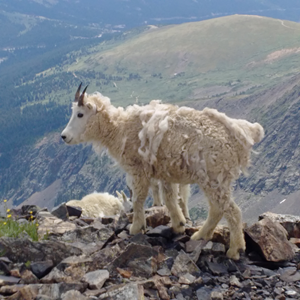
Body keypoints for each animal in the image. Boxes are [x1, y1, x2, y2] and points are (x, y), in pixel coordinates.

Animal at [61, 84, 264, 260]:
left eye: (80, 114)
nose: (64, 136)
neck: (120, 129)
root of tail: (241, 135)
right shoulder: (167, 173)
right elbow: (170, 198)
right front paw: (178, 225)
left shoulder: (138, 169)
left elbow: (139, 199)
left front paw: (136, 227)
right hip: (214, 179)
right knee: (218, 208)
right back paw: (200, 235)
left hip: (214, 177)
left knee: (231, 210)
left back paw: (235, 249)